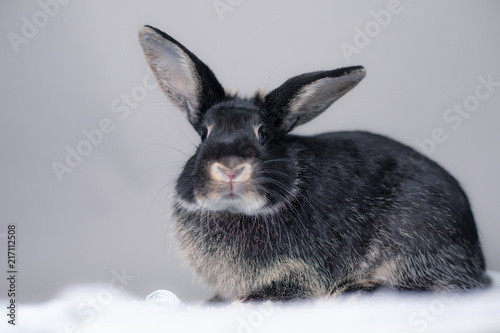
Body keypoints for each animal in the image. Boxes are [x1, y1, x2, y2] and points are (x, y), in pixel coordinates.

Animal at [139, 25, 490, 300]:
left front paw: (251, 299)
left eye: (263, 134)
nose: (230, 168)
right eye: (204, 134)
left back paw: (358, 288)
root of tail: (475, 253)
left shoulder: (301, 269)